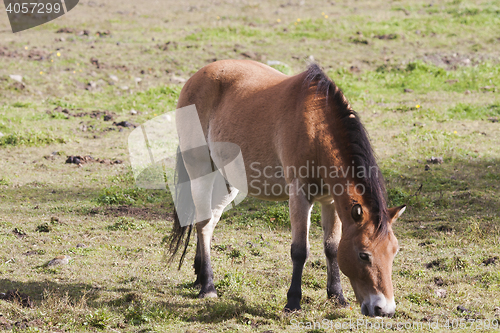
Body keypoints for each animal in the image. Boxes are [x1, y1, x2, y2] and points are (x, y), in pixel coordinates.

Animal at [168, 59, 406, 316]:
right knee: (203, 224)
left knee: (209, 221)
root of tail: (195, 78)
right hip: (200, 171)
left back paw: (199, 277)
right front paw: (293, 301)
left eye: (394, 251)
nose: (384, 309)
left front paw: (337, 296)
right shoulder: (300, 196)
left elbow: (331, 247)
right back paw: (208, 286)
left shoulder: (330, 200)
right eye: (364, 255)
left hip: (227, 182)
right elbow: (300, 250)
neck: (317, 125)